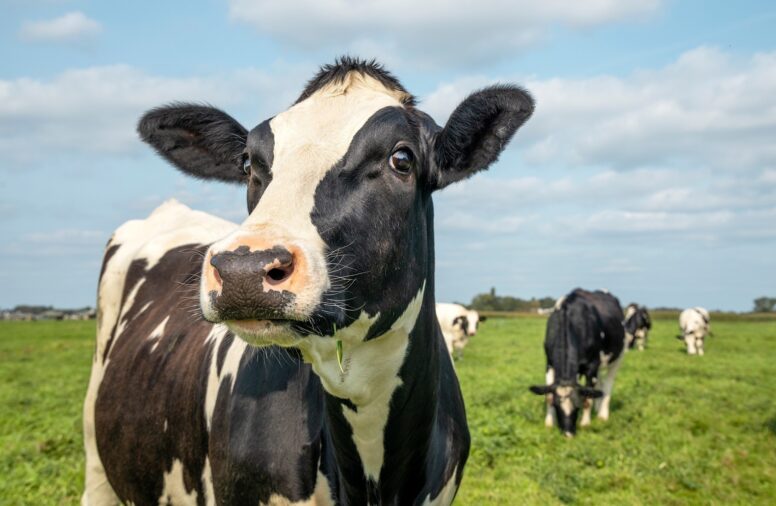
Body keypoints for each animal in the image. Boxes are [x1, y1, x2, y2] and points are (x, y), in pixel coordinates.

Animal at [532, 290, 628, 436]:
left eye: (577, 406)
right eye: (556, 405)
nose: (568, 434)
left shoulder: (592, 365)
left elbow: (587, 398)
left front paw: (585, 423)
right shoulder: (549, 363)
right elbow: (548, 395)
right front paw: (549, 423)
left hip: (618, 357)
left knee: (608, 384)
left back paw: (602, 414)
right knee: (599, 385)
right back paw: (597, 407)